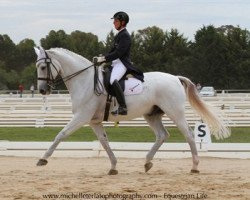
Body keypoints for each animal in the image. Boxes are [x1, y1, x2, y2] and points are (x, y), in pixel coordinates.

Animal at [34, 47, 229, 175]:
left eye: (43, 67)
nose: (42, 90)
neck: (84, 81)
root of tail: (175, 77)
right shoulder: (94, 121)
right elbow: (104, 141)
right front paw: (113, 166)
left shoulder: (81, 117)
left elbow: (61, 134)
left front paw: (43, 159)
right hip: (151, 115)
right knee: (162, 135)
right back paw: (147, 162)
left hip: (175, 112)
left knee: (188, 134)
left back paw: (194, 166)